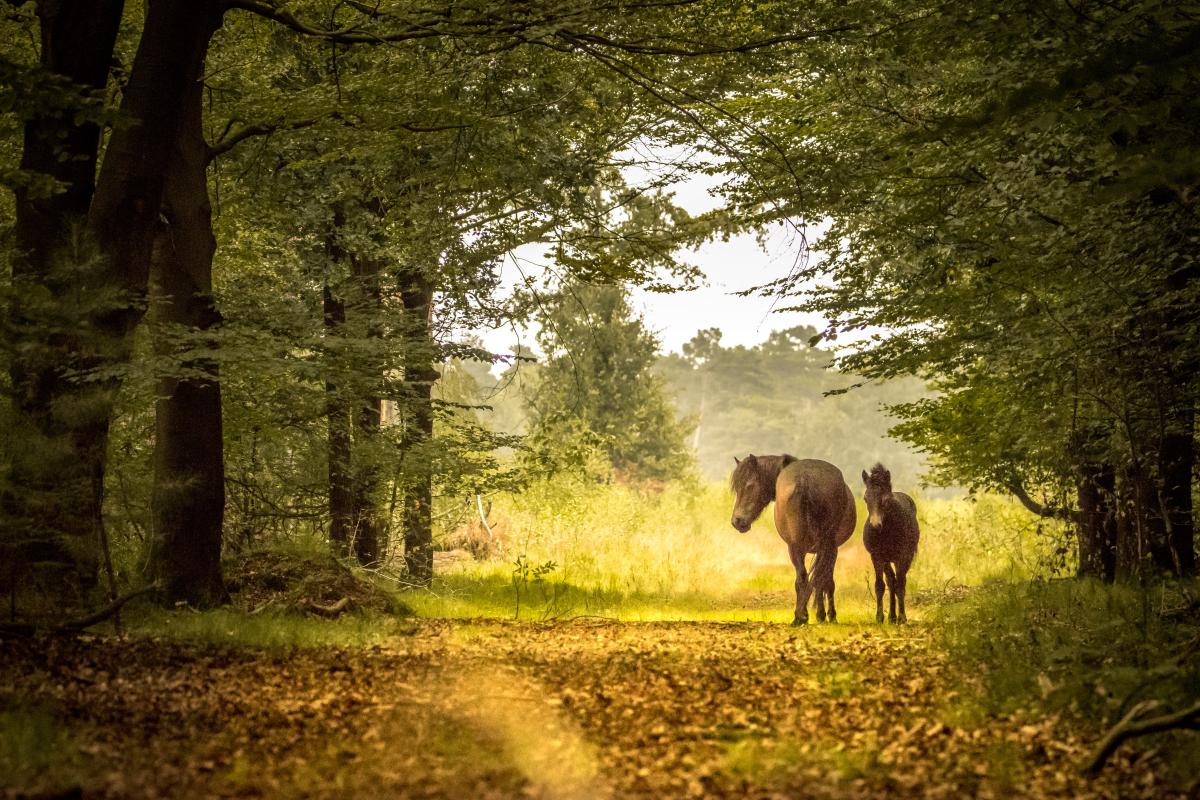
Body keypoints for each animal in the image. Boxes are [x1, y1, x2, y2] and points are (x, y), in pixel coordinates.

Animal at [729, 455, 857, 625]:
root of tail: (805, 479)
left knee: (805, 578)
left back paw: (801, 616)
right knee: (810, 578)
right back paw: (804, 616)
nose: (737, 521)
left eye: (750, 486)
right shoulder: (831, 549)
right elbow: (826, 581)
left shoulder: (831, 549)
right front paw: (826, 615)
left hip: (800, 547)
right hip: (811, 546)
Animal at [861, 463, 920, 624]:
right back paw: (891, 616)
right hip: (887, 560)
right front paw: (879, 617)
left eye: (886, 499)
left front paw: (902, 617)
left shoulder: (902, 557)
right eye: (865, 498)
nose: (875, 526)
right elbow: (880, 585)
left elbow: (900, 585)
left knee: (900, 582)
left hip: (907, 557)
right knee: (891, 581)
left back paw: (897, 616)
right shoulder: (877, 557)